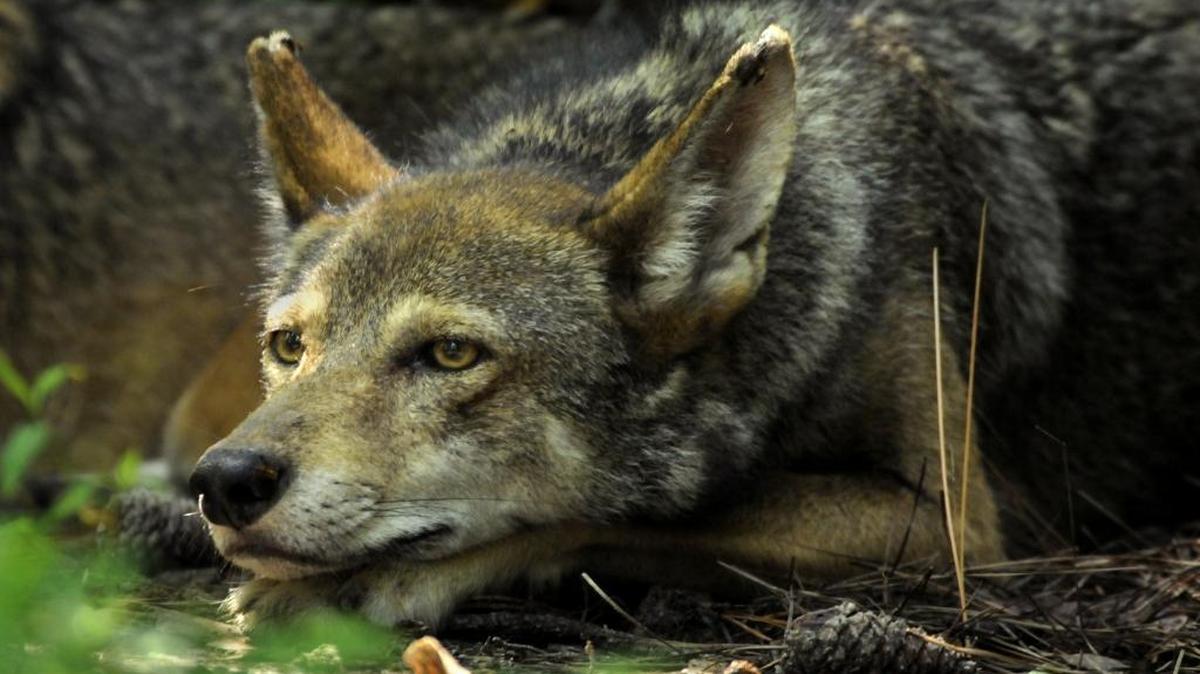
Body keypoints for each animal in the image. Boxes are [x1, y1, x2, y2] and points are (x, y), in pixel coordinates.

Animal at [188, 0, 1200, 627]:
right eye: (290, 346)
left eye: (450, 354)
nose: (225, 481)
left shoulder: (950, 524)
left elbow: (625, 518)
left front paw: (373, 577)